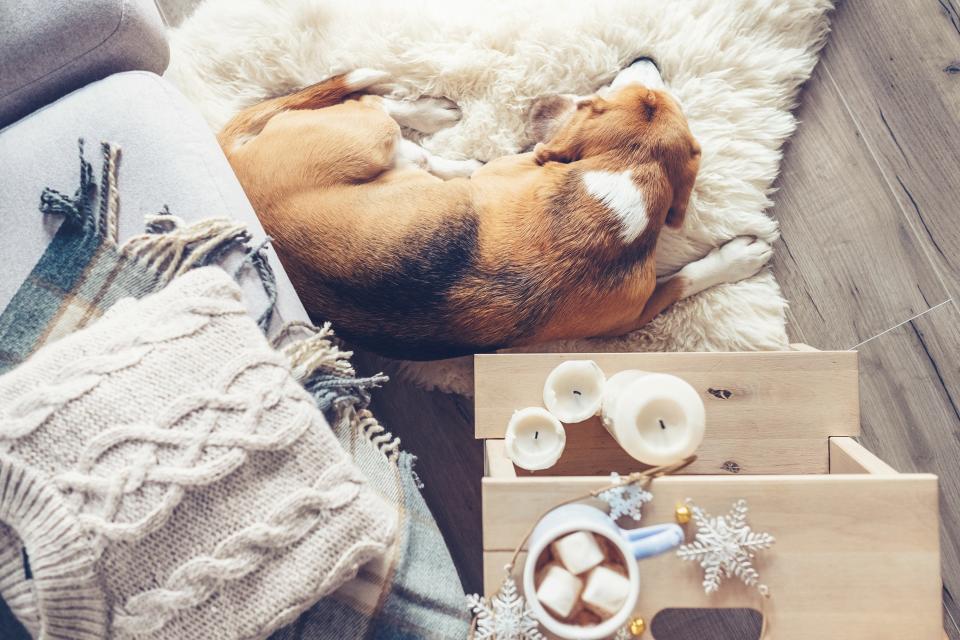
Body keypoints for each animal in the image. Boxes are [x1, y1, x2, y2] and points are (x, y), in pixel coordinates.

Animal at [219, 60, 772, 360]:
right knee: (376, 108)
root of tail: (232, 161)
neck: (617, 185)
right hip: (369, 135)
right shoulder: (632, 316)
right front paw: (742, 256)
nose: (647, 58)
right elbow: (686, 278)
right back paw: (428, 113)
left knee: (412, 149)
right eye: (622, 92)